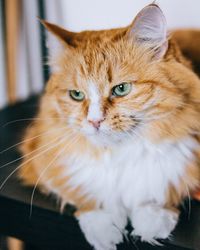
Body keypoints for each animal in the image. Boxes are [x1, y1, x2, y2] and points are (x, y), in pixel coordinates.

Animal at [18, 3, 200, 250]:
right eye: (76, 95)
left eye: (121, 89)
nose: (94, 121)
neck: (118, 155)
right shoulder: (40, 159)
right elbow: (85, 193)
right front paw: (103, 227)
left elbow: (160, 190)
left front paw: (151, 221)